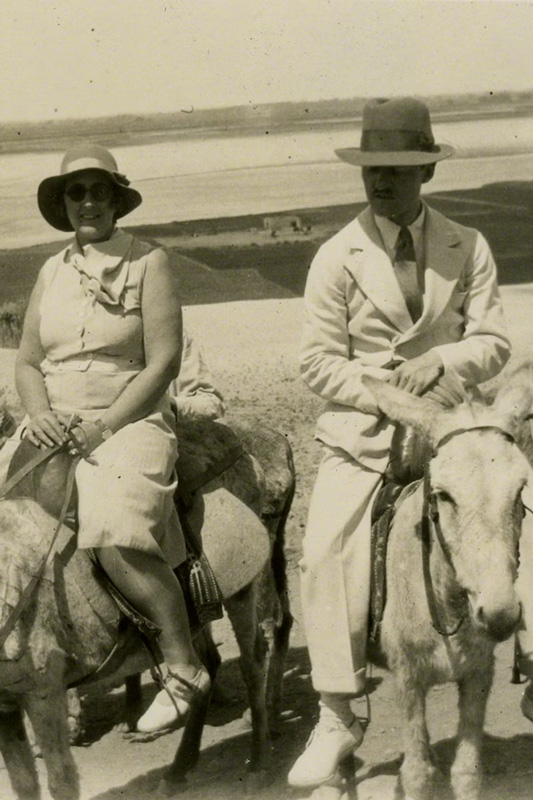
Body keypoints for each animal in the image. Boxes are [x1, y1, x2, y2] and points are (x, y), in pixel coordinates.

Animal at [0, 416, 294, 800]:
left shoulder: (43, 692)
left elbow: (61, 780)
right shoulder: (5, 704)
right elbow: (23, 782)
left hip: (244, 586)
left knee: (253, 659)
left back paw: (258, 760)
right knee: (208, 665)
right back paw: (178, 768)